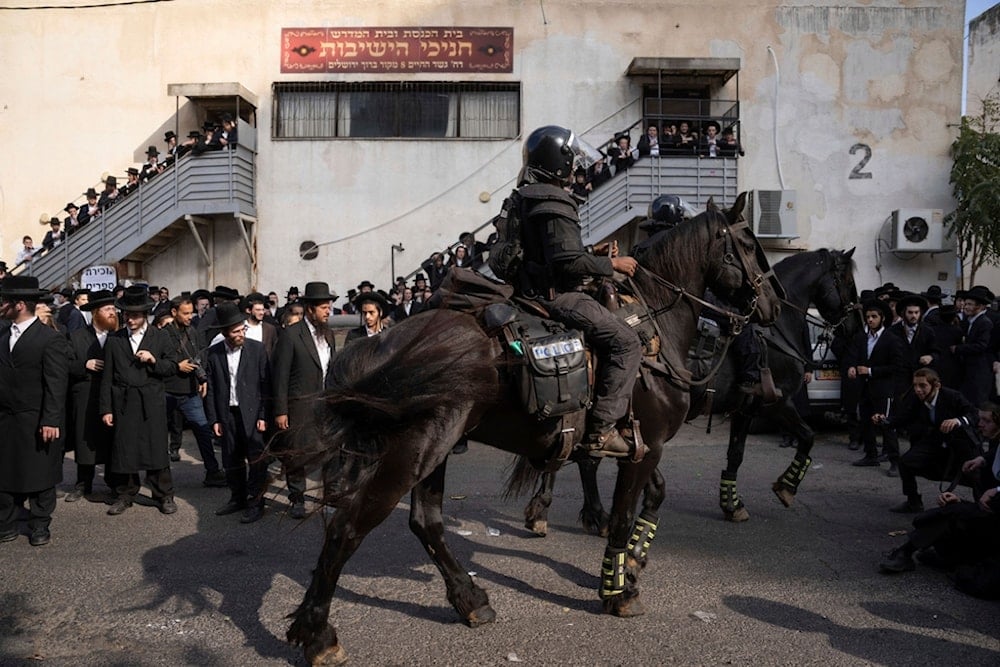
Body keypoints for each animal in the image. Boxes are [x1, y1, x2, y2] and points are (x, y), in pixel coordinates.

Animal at [282, 194, 780, 667]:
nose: (774, 306)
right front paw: (618, 589)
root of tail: (382, 342)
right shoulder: (648, 446)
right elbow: (623, 516)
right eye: (749, 244)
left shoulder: (640, 445)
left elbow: (652, 496)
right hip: (413, 452)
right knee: (348, 528)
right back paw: (319, 635)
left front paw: (633, 562)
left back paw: (470, 600)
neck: (653, 328)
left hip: (435, 448)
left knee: (426, 521)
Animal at [524, 248, 860, 536]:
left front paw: (731, 504)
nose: (854, 326)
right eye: (847, 281)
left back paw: (572, 513)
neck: (775, 331)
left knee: (582, 455)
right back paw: (566, 512)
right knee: (583, 456)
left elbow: (736, 454)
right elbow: (807, 436)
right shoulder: (776, 404)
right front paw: (786, 488)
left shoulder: (745, 408)